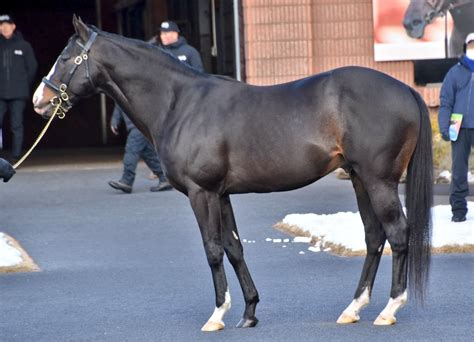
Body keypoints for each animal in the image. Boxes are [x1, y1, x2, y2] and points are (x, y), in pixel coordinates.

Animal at [32, 16, 434, 332]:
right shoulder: (221, 193)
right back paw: (353, 308)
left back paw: (389, 309)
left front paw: (217, 315)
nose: (39, 101)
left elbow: (212, 249)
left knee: (397, 233)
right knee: (373, 236)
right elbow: (234, 247)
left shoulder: (202, 192)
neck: (179, 104)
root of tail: (406, 90)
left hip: (378, 181)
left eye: (65, 57)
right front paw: (249, 312)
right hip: (358, 178)